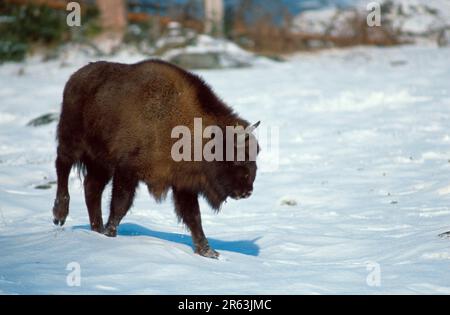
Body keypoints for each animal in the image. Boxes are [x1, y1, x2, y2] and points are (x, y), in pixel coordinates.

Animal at [51, 59, 260, 260]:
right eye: (235, 157)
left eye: (255, 154)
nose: (247, 191)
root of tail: (75, 78)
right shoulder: (127, 171)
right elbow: (120, 205)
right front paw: (110, 234)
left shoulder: (183, 184)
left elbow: (193, 217)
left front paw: (209, 252)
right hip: (72, 143)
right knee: (62, 168)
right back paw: (60, 215)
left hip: (101, 163)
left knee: (91, 188)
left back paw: (96, 229)